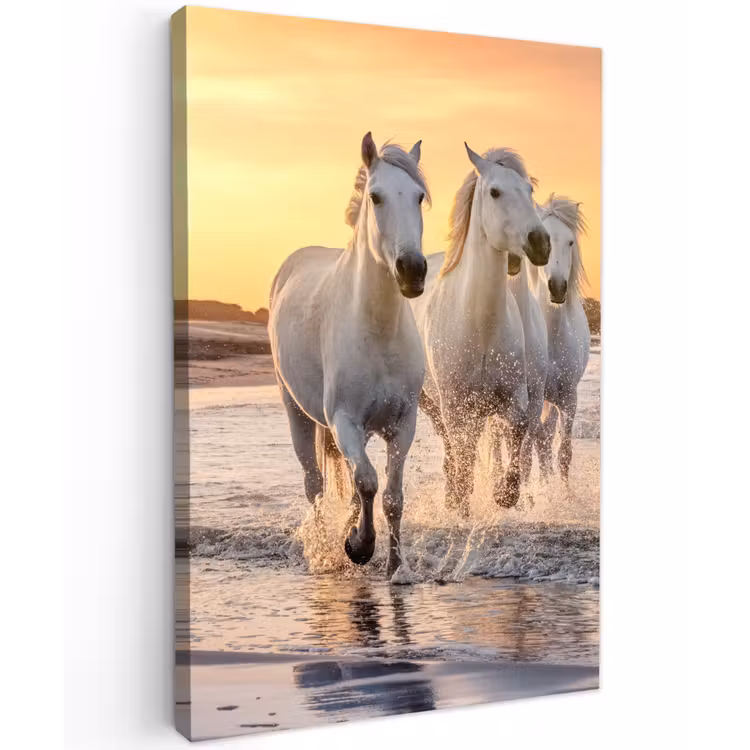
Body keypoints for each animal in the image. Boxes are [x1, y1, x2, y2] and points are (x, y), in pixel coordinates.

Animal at [269, 133, 429, 576]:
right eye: (376, 197)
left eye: (419, 197)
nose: (413, 270)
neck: (377, 331)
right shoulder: (344, 420)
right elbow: (368, 483)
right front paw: (359, 546)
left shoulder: (402, 424)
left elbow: (391, 496)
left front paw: (395, 567)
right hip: (297, 413)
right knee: (315, 485)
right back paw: (326, 548)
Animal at [410, 145, 550, 517]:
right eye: (495, 192)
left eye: (529, 190)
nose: (540, 243)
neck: (481, 328)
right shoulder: (457, 405)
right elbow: (464, 454)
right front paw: (461, 500)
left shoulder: (515, 398)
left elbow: (517, 433)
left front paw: (505, 494)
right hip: (432, 403)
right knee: (451, 446)